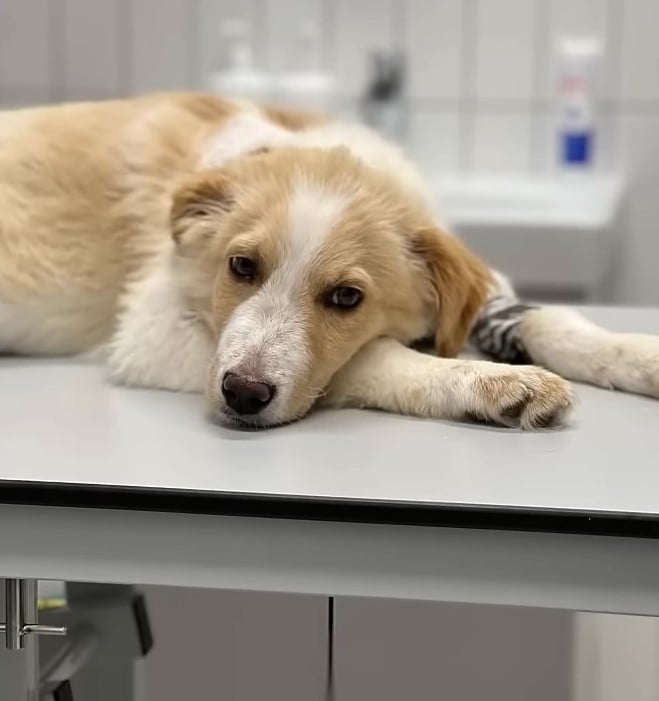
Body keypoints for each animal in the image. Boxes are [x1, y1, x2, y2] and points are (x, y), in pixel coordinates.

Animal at [0, 90, 656, 430]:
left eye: (346, 297)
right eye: (241, 267)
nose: (242, 395)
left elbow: (550, 318)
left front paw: (637, 353)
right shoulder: (150, 333)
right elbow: (368, 359)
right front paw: (489, 382)